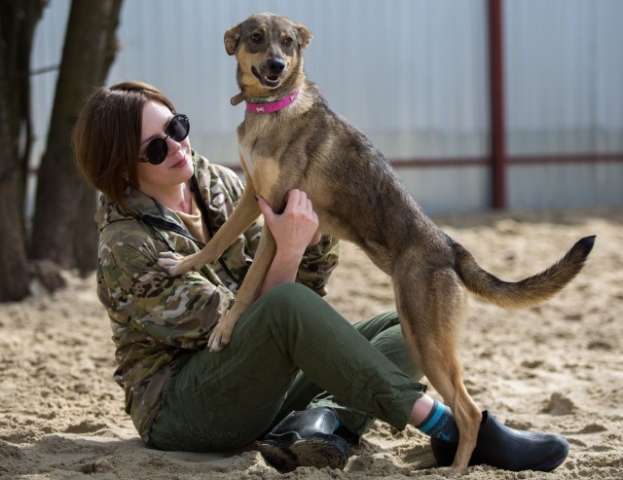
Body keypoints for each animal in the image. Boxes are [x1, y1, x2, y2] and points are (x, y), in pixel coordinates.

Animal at [158, 13, 596, 470]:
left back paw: (455, 471)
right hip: (418, 337)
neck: (273, 108)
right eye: (257, 38)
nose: (277, 65)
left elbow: (246, 288)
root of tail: (450, 247)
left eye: (289, 42)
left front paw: (224, 330)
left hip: (427, 340)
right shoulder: (251, 198)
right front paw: (182, 265)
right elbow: (215, 242)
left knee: (470, 411)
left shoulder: (275, 212)